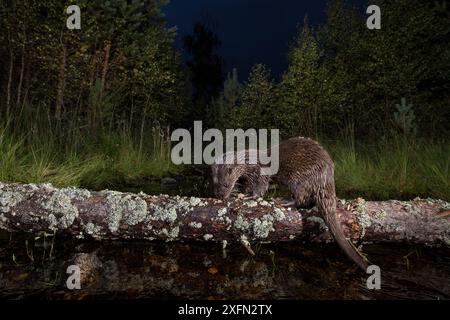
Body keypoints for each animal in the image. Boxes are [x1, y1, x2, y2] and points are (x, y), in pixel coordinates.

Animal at [212, 136, 370, 272]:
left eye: (226, 185)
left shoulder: (260, 173)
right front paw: (239, 193)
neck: (250, 162)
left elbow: (260, 188)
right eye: (214, 183)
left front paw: (248, 196)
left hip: (298, 180)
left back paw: (285, 201)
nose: (220, 195)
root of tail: (326, 177)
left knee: (301, 200)